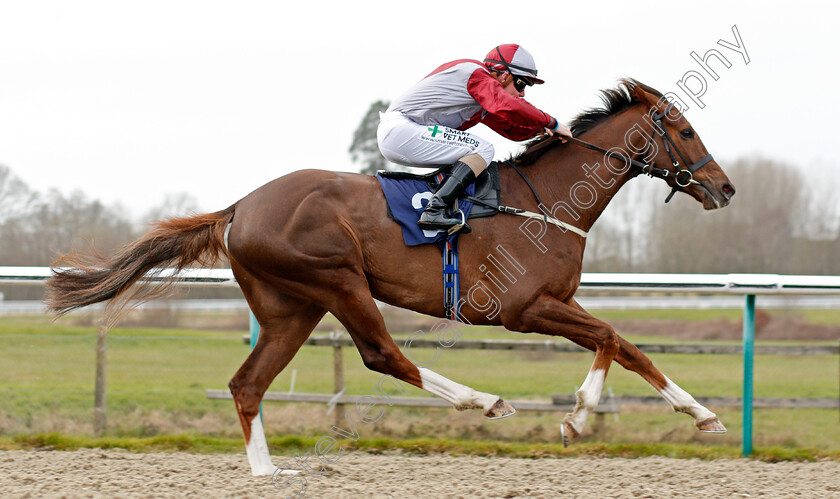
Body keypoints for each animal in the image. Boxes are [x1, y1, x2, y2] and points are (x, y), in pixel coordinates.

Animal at [46, 79, 736, 476]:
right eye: (685, 129)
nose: (724, 188)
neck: (545, 201)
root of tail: (241, 206)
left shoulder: (553, 304)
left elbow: (625, 345)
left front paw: (700, 414)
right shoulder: (523, 308)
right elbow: (614, 338)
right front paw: (580, 416)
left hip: (291, 307)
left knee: (248, 384)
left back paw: (267, 474)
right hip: (336, 279)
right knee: (382, 354)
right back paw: (484, 400)